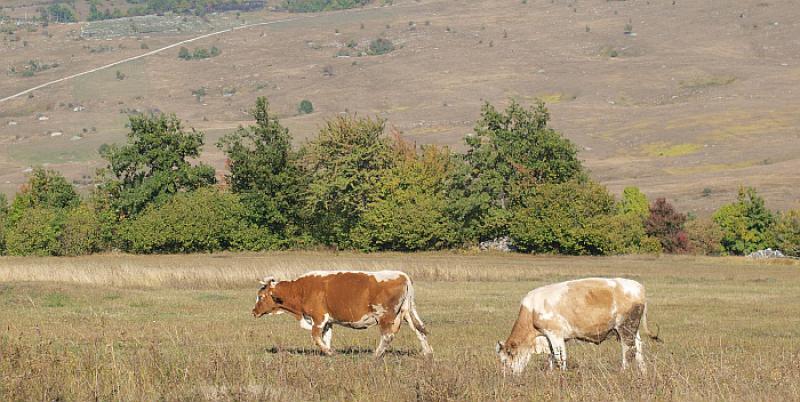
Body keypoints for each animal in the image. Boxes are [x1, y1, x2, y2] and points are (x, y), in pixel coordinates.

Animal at [253, 272, 434, 356]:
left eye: (261, 296)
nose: (253, 311)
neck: (301, 290)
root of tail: (403, 275)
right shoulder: (328, 321)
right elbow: (326, 337)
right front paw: (328, 351)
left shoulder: (319, 318)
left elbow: (316, 337)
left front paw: (330, 352)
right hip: (407, 313)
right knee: (420, 330)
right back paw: (427, 353)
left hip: (386, 316)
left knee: (388, 336)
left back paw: (376, 355)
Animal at [494, 276, 664, 374]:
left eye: (504, 361)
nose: (506, 376)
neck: (532, 311)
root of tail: (638, 287)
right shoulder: (549, 337)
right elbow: (551, 357)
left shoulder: (555, 334)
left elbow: (559, 357)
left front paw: (561, 375)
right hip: (633, 329)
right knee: (638, 348)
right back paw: (642, 372)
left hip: (625, 328)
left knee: (628, 350)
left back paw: (623, 371)